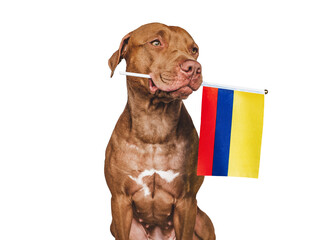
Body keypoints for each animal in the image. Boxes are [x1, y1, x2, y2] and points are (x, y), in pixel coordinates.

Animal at [105, 23, 215, 240]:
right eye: (156, 43)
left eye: (194, 50)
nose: (194, 67)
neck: (155, 126)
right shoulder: (120, 200)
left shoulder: (187, 201)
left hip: (203, 221)